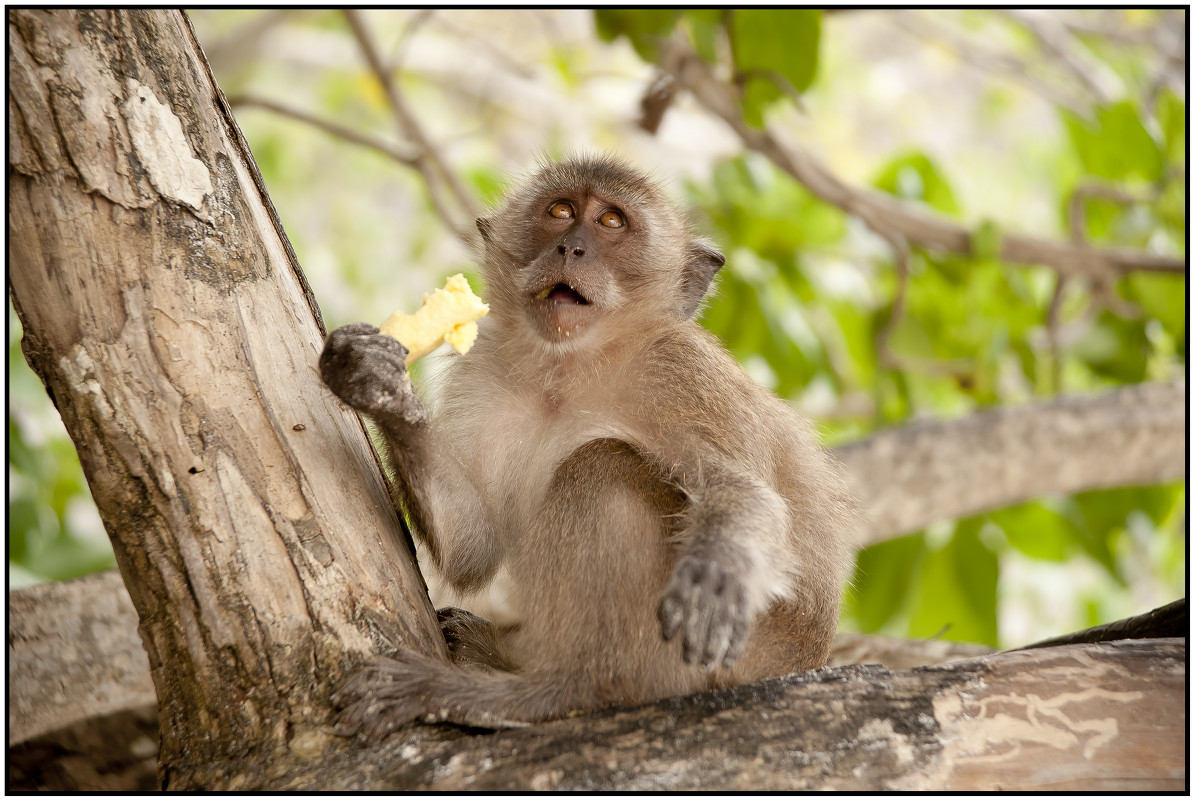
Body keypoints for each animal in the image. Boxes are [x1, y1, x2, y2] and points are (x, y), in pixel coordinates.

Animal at [322, 154, 855, 746]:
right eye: (560, 212)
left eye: (611, 222)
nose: (570, 249)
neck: (572, 368)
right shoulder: (486, 371)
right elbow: (472, 548)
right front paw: (381, 384)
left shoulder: (681, 370)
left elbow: (743, 489)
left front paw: (721, 569)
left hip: (729, 656)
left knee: (601, 466)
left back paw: (554, 691)